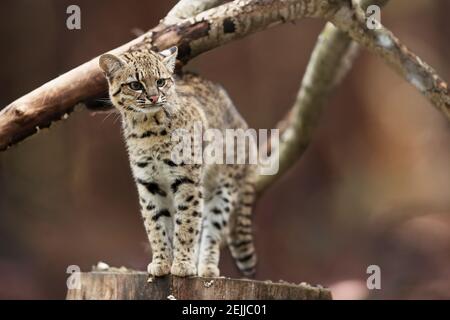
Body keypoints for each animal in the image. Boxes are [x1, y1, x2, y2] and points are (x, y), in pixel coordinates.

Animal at [100, 45, 258, 278]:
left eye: (160, 81)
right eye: (135, 85)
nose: (154, 98)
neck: (148, 129)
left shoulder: (187, 180)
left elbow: (187, 223)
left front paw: (182, 264)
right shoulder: (149, 183)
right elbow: (155, 224)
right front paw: (162, 262)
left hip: (223, 189)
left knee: (212, 228)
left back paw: (207, 268)